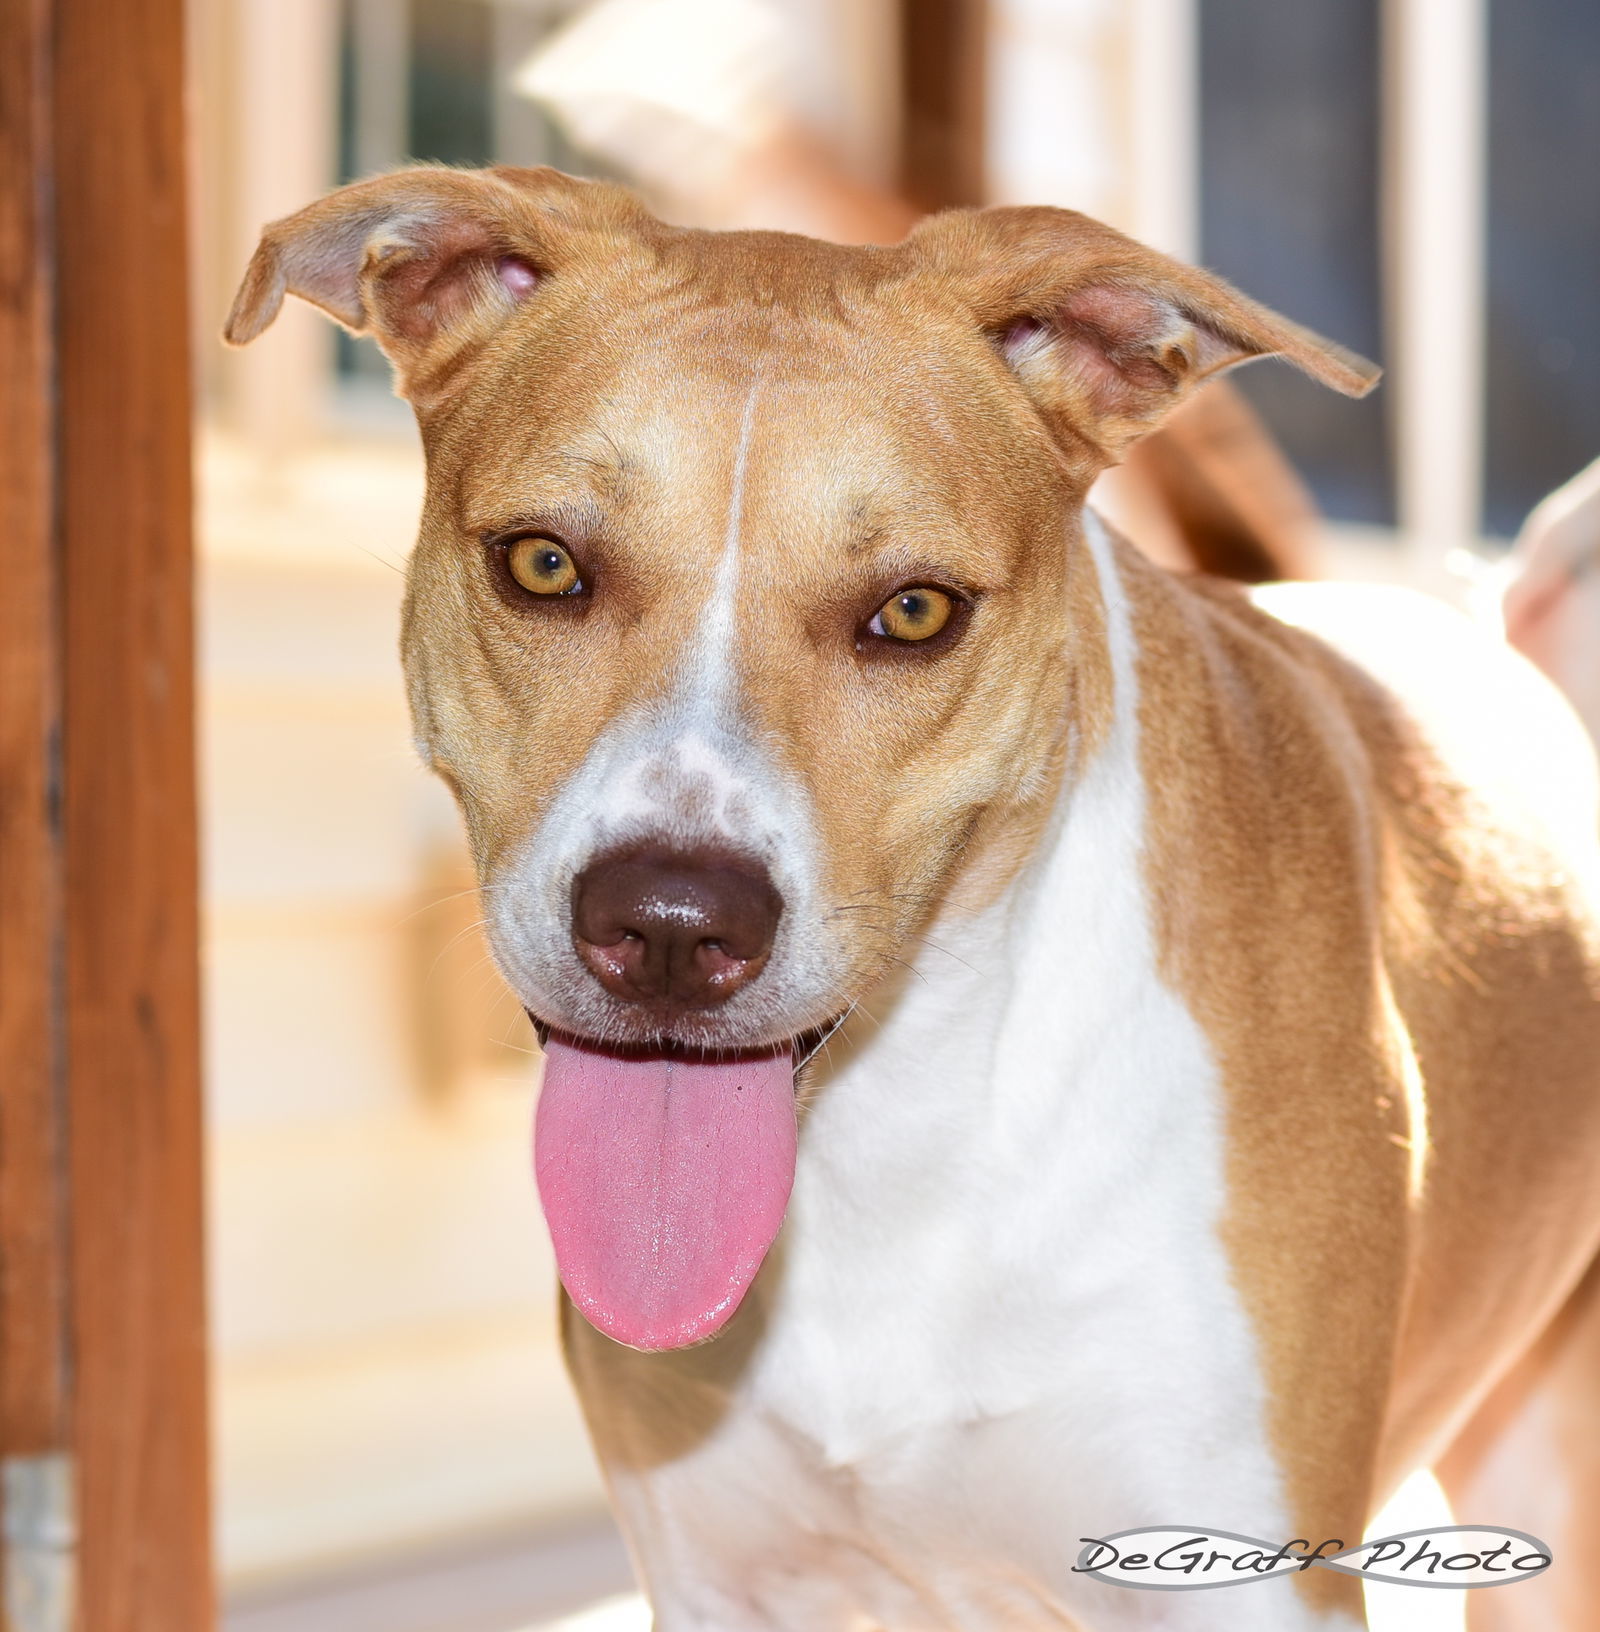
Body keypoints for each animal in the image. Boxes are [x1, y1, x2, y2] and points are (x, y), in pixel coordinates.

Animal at [225, 168, 1600, 1632]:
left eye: (916, 611)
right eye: (542, 564)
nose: (669, 925)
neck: (885, 1133)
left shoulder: (1233, 1577)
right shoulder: (719, 1578)